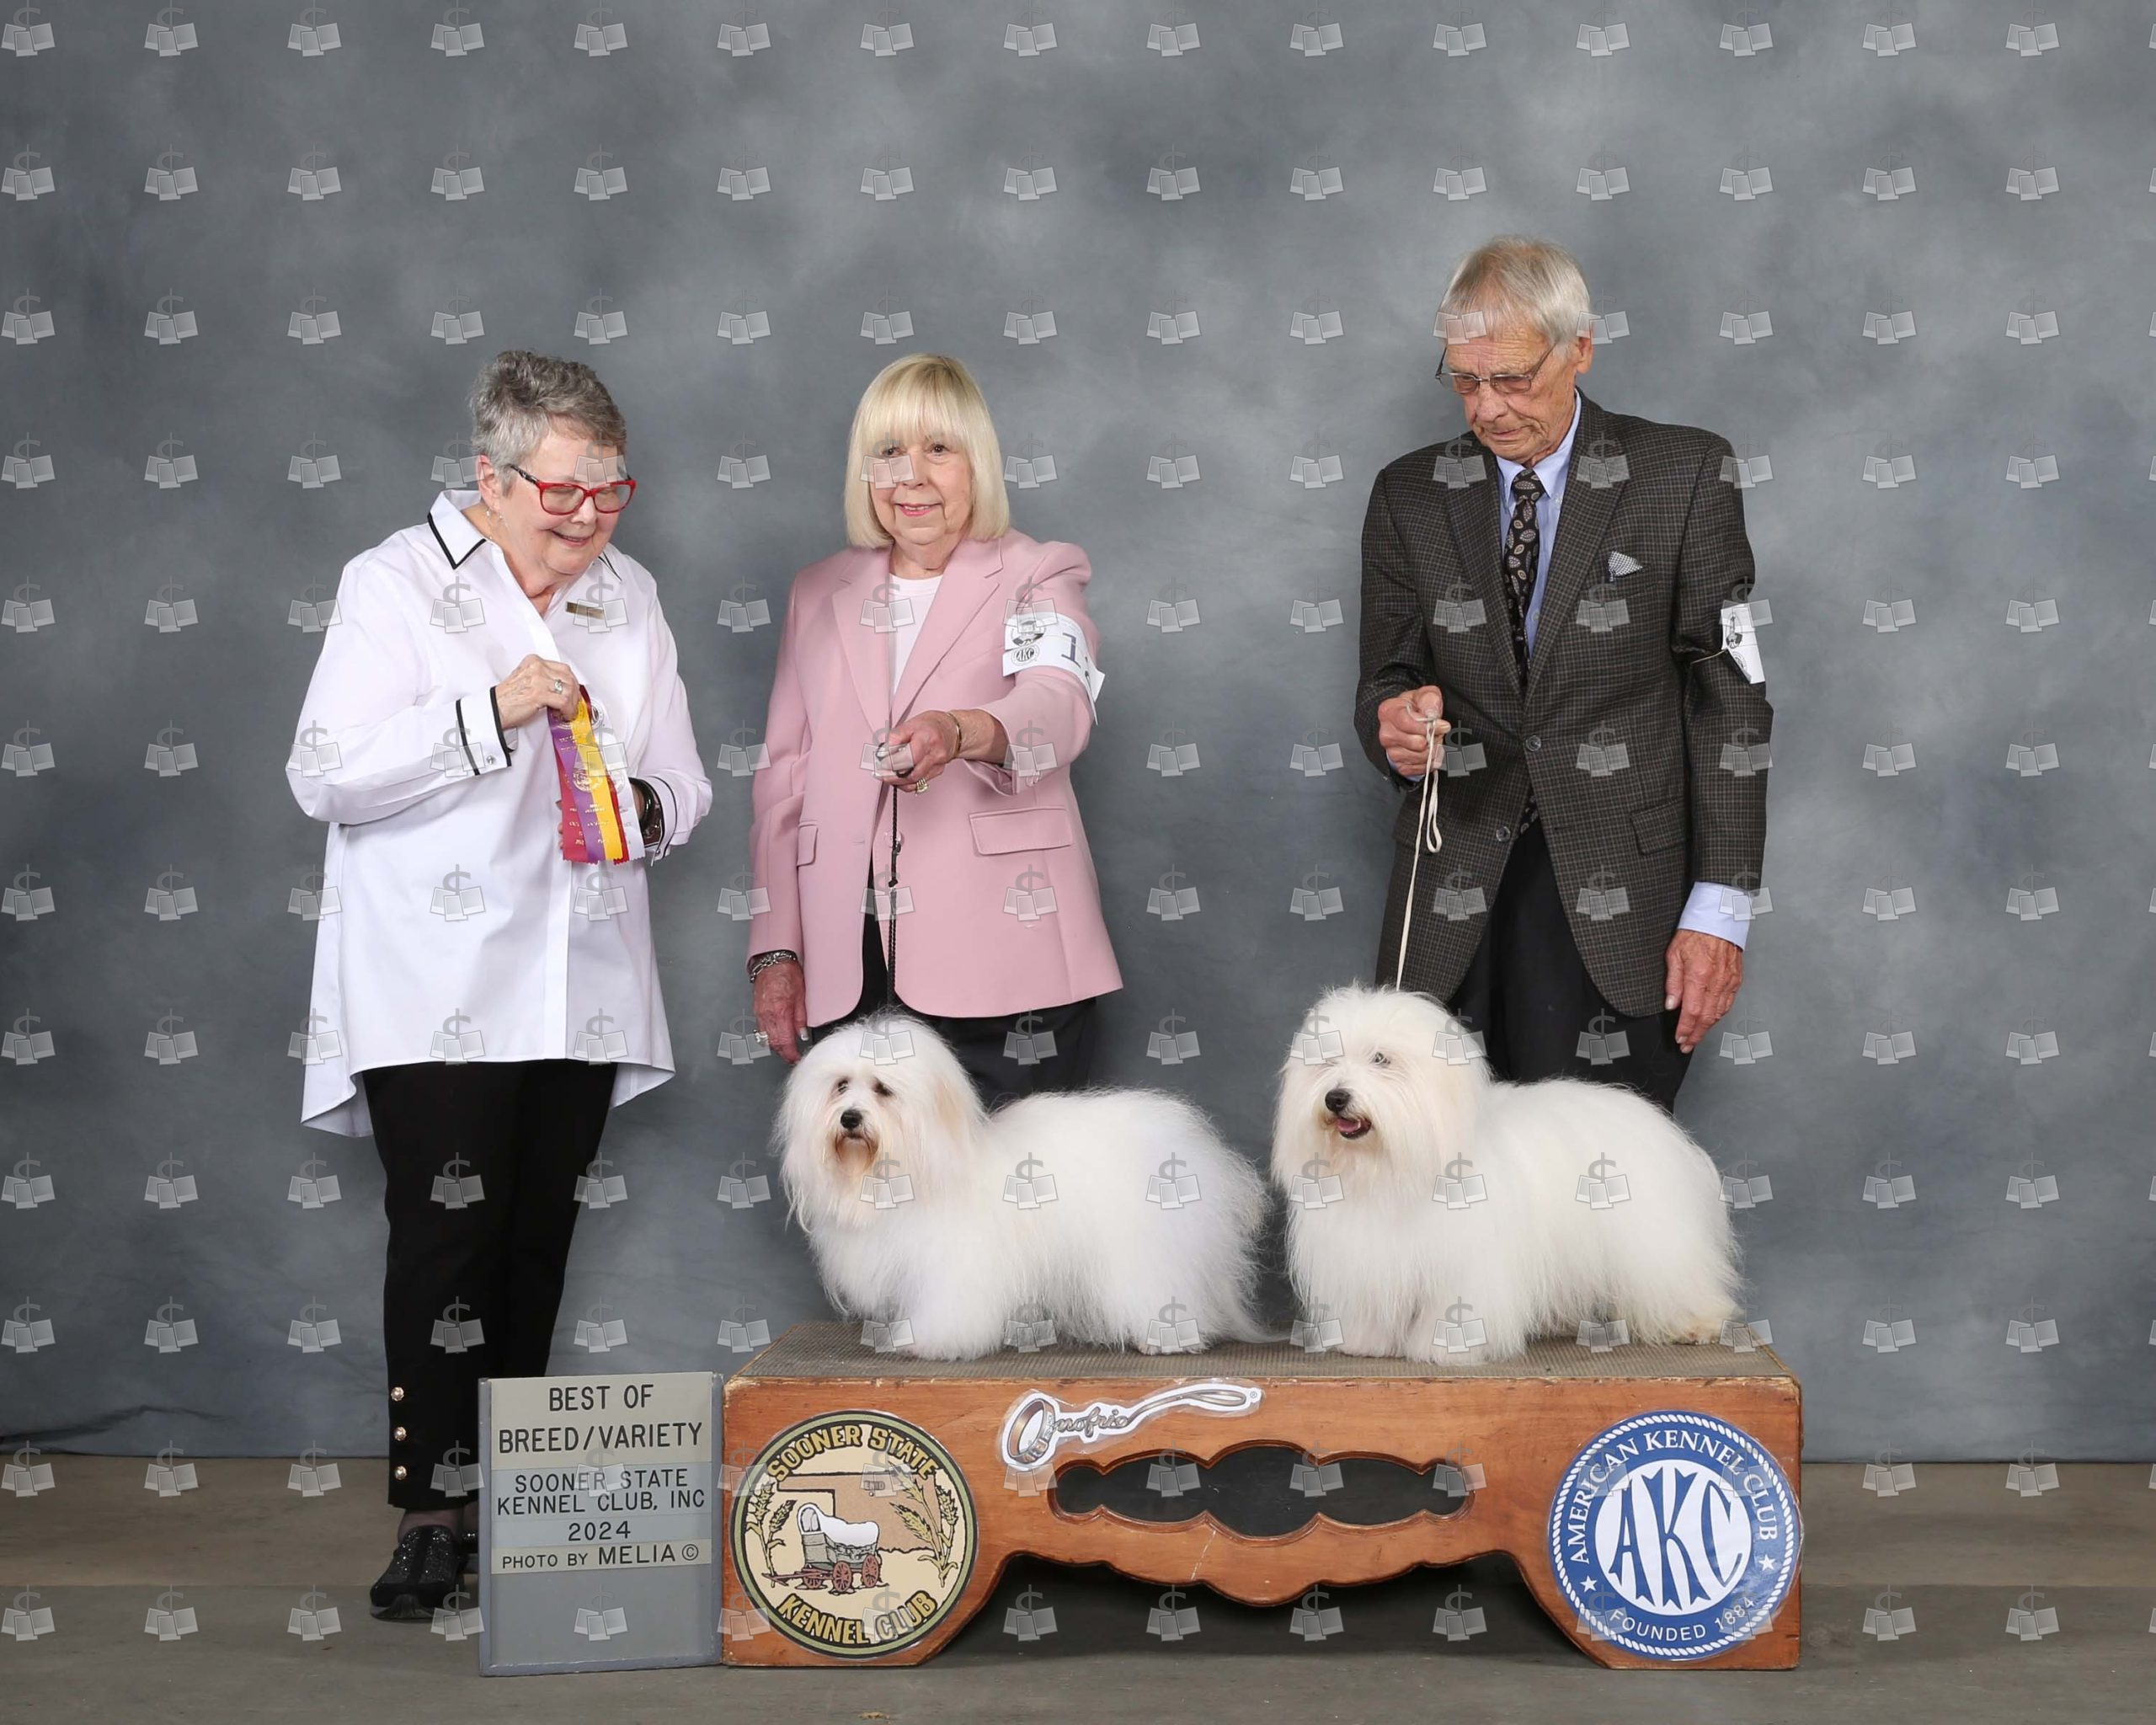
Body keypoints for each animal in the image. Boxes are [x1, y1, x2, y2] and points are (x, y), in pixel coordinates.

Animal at [777, 1012, 1270, 1360]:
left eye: (882, 1089)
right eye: (841, 1086)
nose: (850, 1118)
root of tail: (1191, 1146)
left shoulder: (954, 1263)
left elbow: (948, 1305)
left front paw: (932, 1342)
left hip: (1146, 1251)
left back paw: (1162, 1339)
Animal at [1270, 982, 1740, 1363]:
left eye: (1381, 1059)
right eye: (1327, 1061)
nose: (1335, 1098)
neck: (1392, 1166)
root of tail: (1659, 1124)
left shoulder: (1466, 1262)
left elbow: (1456, 1308)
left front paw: (1448, 1349)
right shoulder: (1368, 1259)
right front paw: (1365, 1342)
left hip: (1656, 1242)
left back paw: (1695, 1323)